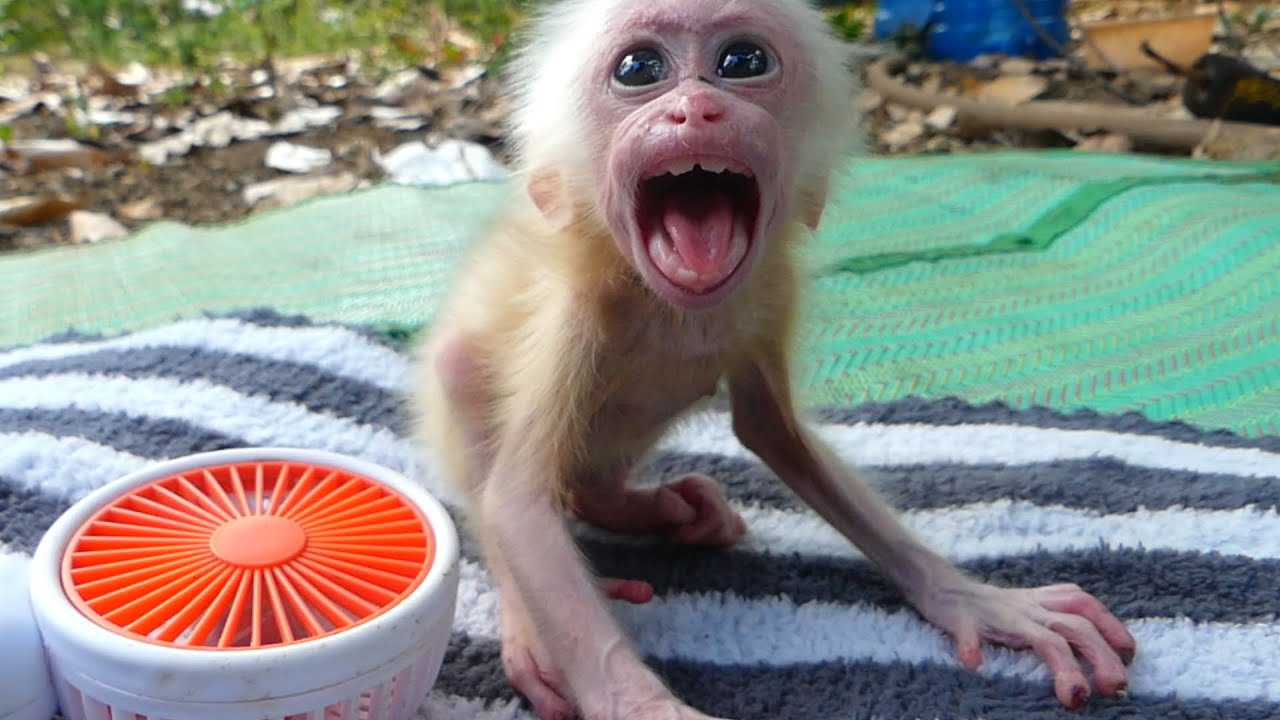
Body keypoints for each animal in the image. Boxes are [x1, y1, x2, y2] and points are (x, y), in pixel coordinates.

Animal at [412, 1, 1138, 718]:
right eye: (639, 69)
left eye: (743, 62)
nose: (697, 110)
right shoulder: (573, 311)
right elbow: (516, 502)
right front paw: (644, 706)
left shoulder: (772, 288)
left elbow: (775, 433)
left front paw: (973, 600)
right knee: (462, 376)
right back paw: (534, 622)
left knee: (600, 480)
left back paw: (651, 509)